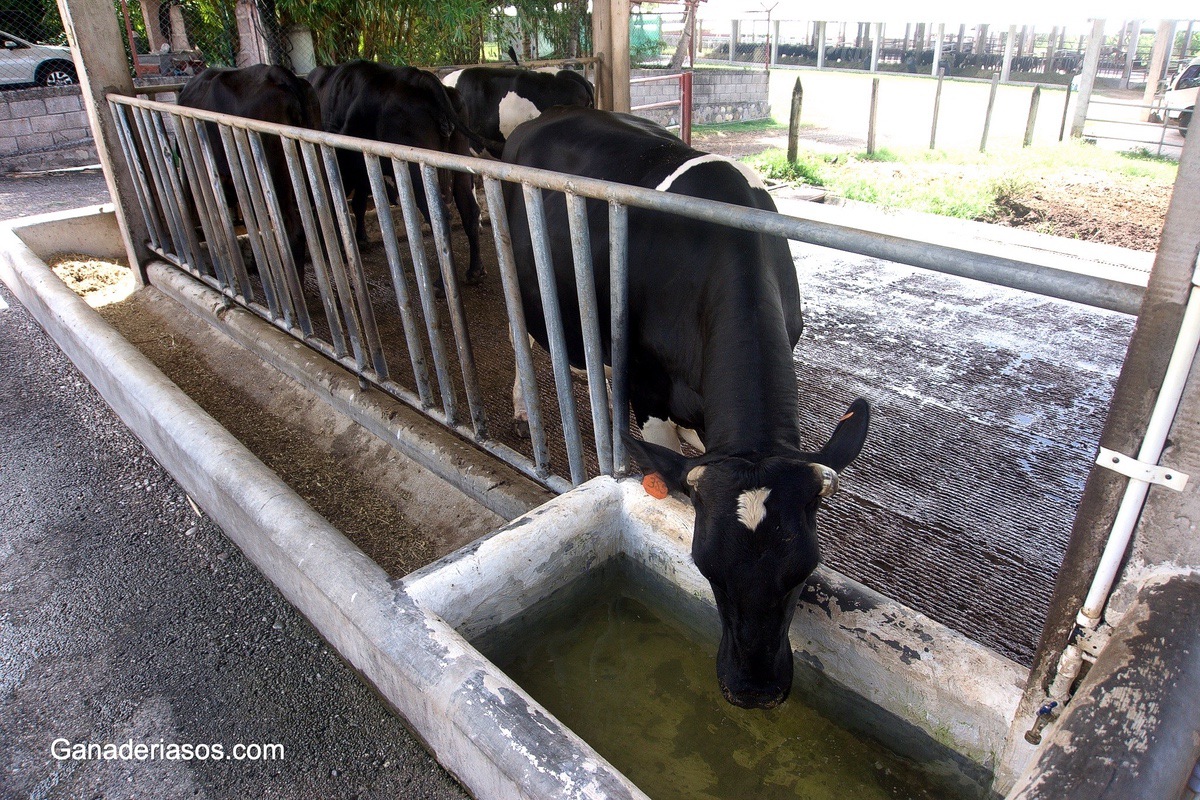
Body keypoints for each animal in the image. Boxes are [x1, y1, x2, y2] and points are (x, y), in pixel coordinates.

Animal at [309, 63, 487, 287]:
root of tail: (421, 78)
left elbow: (357, 203)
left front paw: (359, 240)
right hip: (458, 158)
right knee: (469, 209)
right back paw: (475, 271)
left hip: (417, 170)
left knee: (439, 216)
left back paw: (441, 281)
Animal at [504, 104, 873, 705]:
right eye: (705, 567)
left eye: (804, 571)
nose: (753, 690)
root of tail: (551, 113)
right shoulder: (650, 390)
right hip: (515, 272)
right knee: (519, 337)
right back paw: (521, 410)